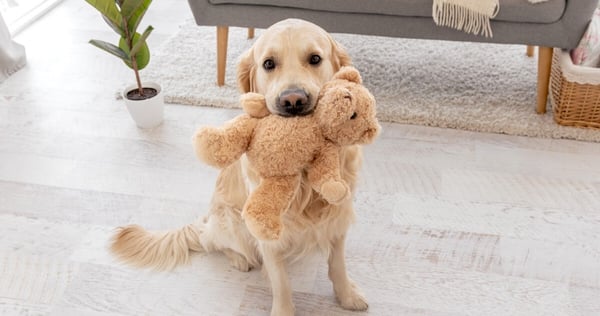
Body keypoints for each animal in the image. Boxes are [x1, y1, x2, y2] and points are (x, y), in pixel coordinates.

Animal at [110, 18, 368, 314]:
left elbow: (337, 265)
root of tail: (206, 219)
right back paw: (238, 259)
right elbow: (281, 283)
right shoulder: (266, 231)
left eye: (315, 59)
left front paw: (347, 295)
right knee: (212, 242)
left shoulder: (338, 215)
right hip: (233, 222)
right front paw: (284, 309)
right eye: (269, 63)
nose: (293, 101)